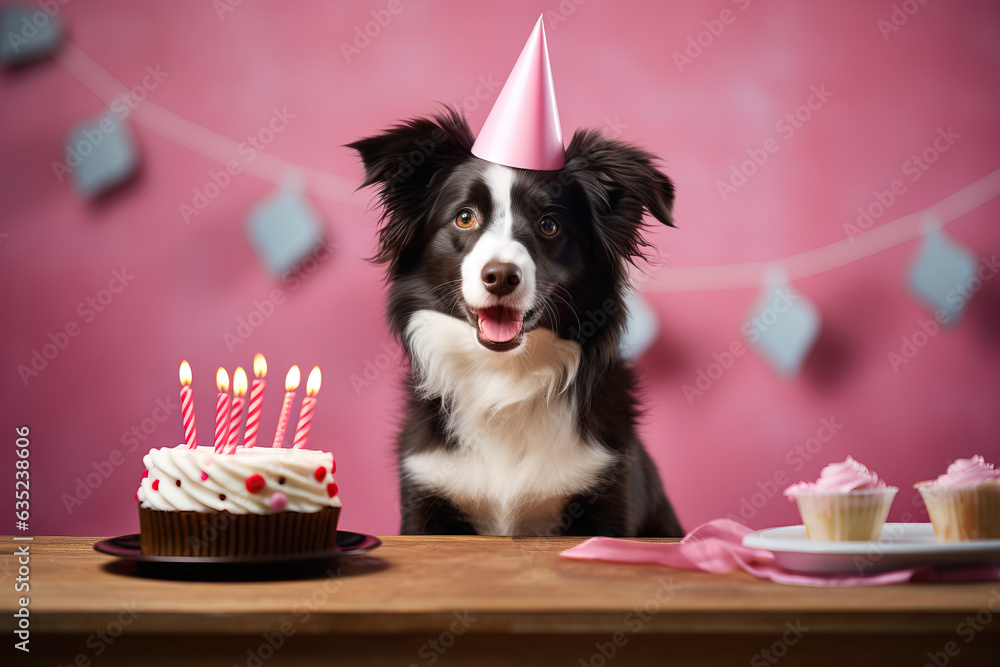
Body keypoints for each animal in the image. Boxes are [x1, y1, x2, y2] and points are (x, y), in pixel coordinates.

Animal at [348, 109, 684, 536]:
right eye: (464, 218)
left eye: (549, 225)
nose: (501, 276)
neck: (504, 375)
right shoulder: (427, 493)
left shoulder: (607, 489)